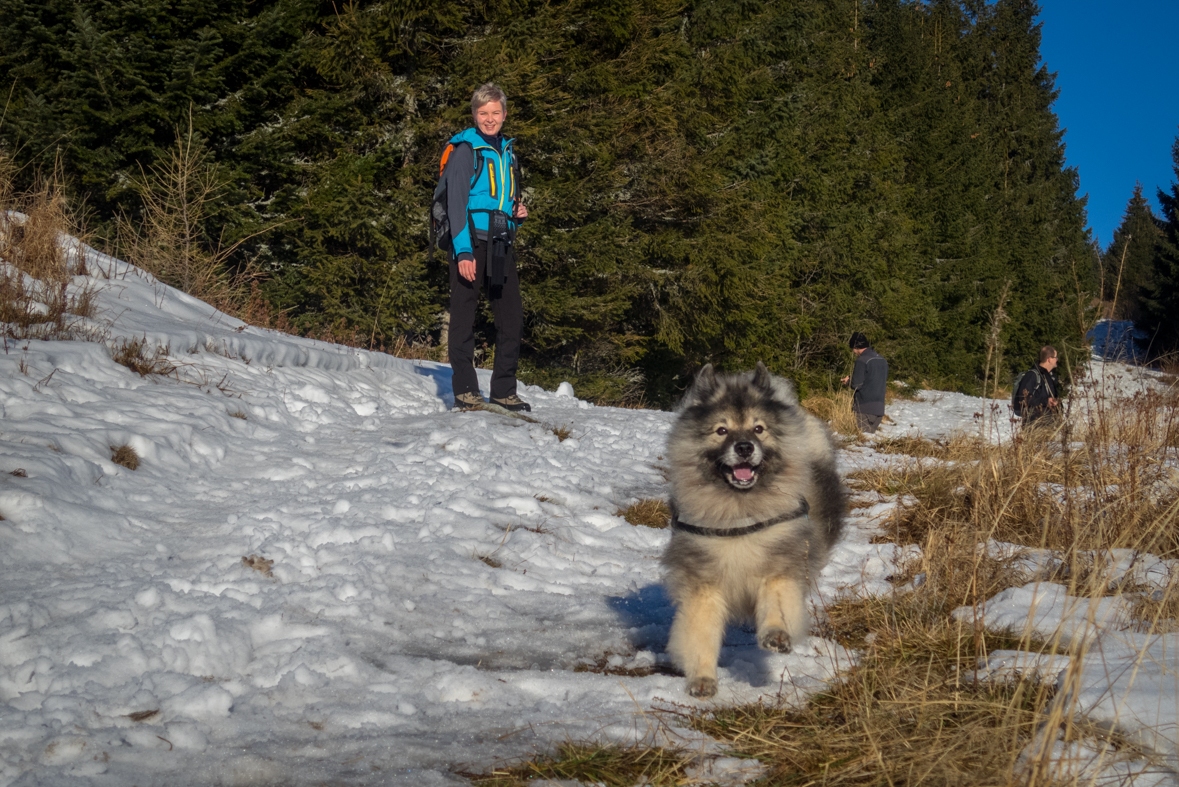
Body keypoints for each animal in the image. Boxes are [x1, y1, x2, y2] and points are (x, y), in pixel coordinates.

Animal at [664, 360, 848, 692]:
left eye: (759, 428)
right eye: (721, 430)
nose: (745, 447)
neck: (741, 515)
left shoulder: (779, 568)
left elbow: (777, 605)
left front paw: (776, 635)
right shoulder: (704, 583)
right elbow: (700, 634)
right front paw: (702, 679)